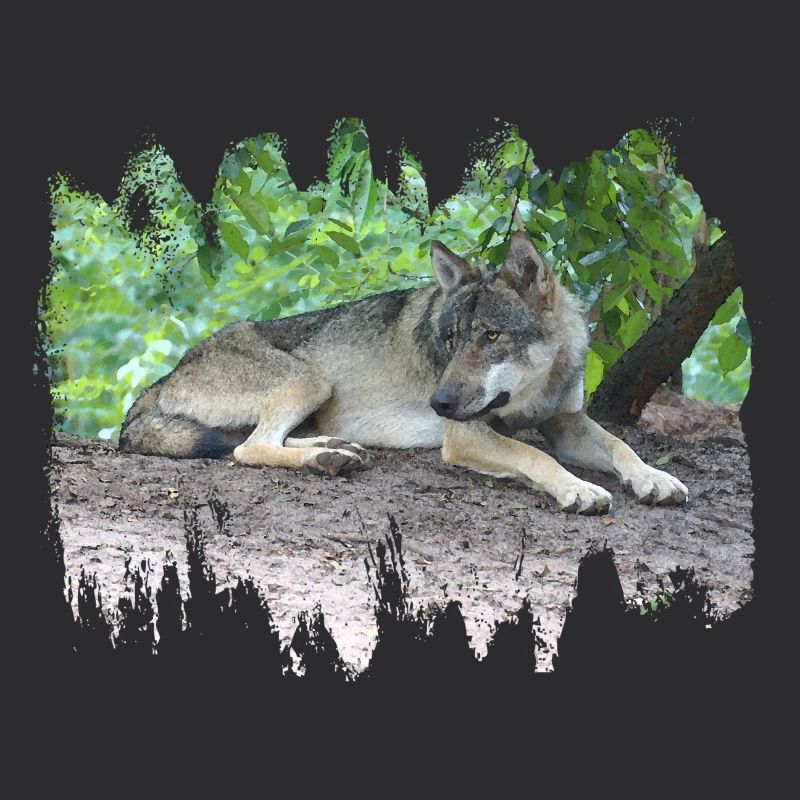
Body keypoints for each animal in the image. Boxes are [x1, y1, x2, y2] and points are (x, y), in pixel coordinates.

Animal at [119, 231, 688, 514]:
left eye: (491, 337)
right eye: (451, 340)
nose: (439, 404)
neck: (536, 386)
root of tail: (164, 377)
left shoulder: (564, 422)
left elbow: (620, 445)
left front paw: (654, 478)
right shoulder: (465, 436)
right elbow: (533, 455)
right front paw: (578, 489)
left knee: (261, 441)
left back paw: (334, 450)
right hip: (312, 380)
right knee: (247, 449)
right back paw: (324, 460)